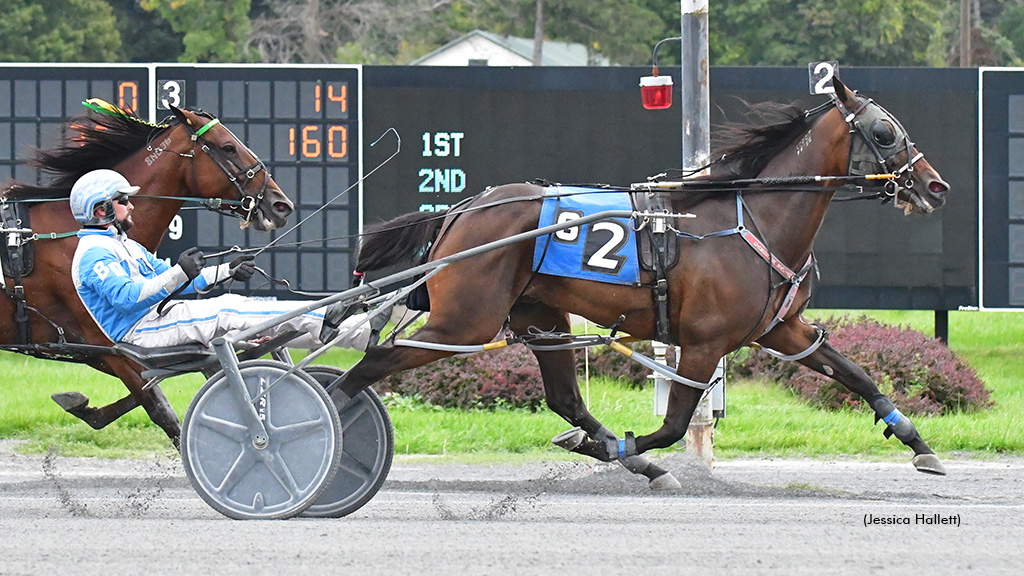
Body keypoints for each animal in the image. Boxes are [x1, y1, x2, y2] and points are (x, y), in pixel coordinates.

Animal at [339, 76, 946, 483]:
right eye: (885, 132)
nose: (935, 186)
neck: (754, 219)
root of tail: (463, 209)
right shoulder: (703, 344)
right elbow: (676, 425)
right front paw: (624, 452)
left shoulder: (781, 329)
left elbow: (855, 374)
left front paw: (919, 443)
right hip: (464, 321)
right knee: (371, 365)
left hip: (538, 316)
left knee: (565, 397)